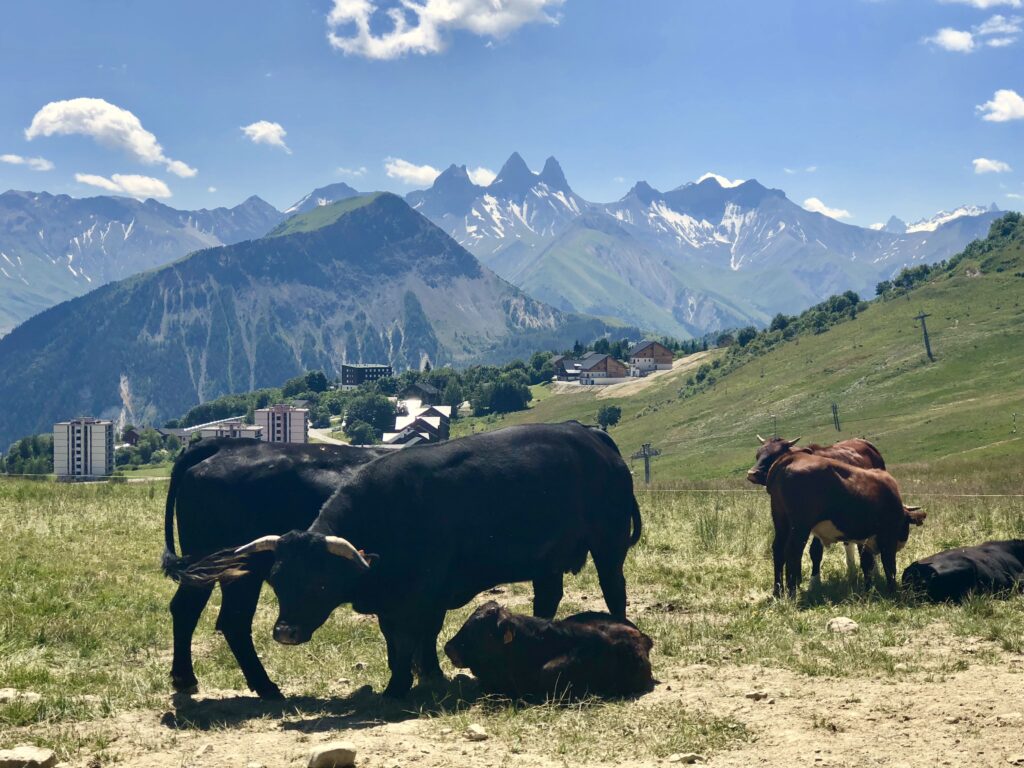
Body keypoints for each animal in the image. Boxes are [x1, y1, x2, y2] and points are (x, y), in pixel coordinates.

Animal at [161, 438, 389, 696]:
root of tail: (228, 443)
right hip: (240, 574)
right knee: (231, 620)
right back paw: (265, 686)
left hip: (206, 571)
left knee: (186, 609)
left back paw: (185, 678)